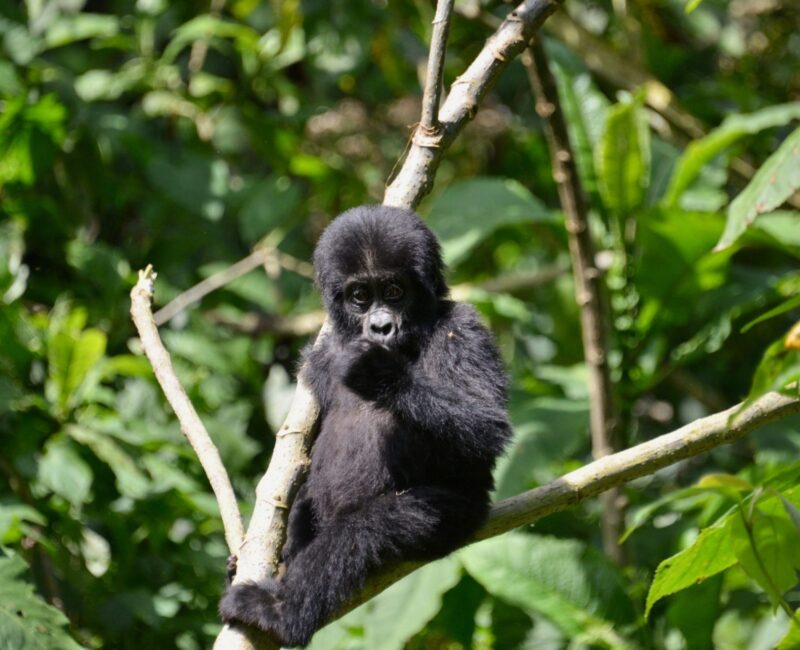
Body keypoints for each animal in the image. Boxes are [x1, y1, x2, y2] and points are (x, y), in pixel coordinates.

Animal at [219, 205, 510, 644]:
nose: (381, 326)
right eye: (360, 296)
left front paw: (380, 374)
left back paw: (281, 611)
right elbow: (300, 466)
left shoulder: (464, 328)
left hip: (458, 514)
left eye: (394, 291)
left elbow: (487, 425)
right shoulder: (318, 358)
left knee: (361, 531)